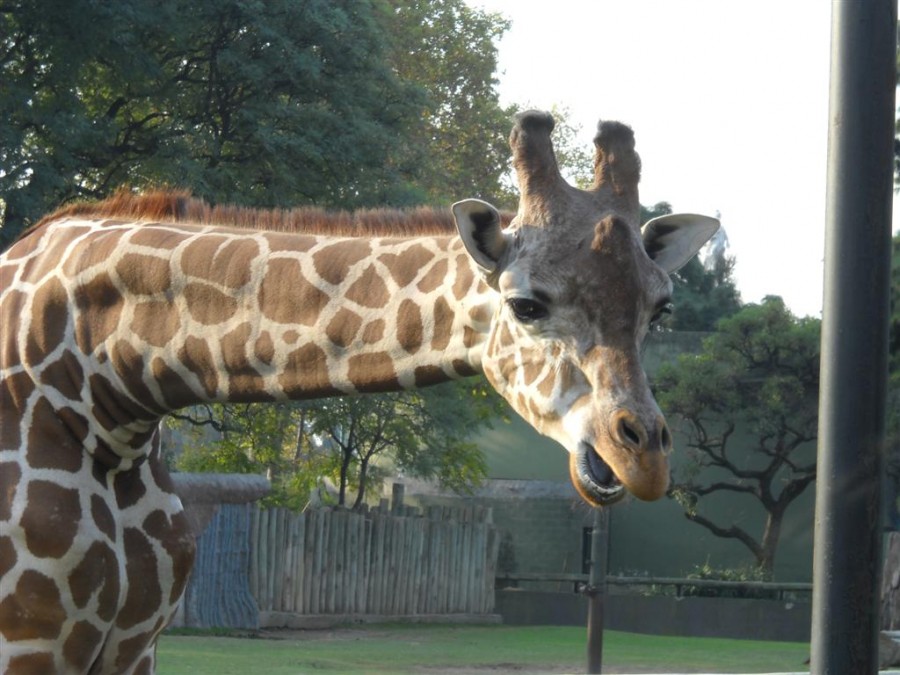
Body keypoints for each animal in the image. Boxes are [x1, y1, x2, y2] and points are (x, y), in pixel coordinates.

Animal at [0, 112, 716, 675]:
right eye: (526, 304)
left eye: (661, 309)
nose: (644, 457)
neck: (105, 395)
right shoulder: (32, 638)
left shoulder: (134, 643)